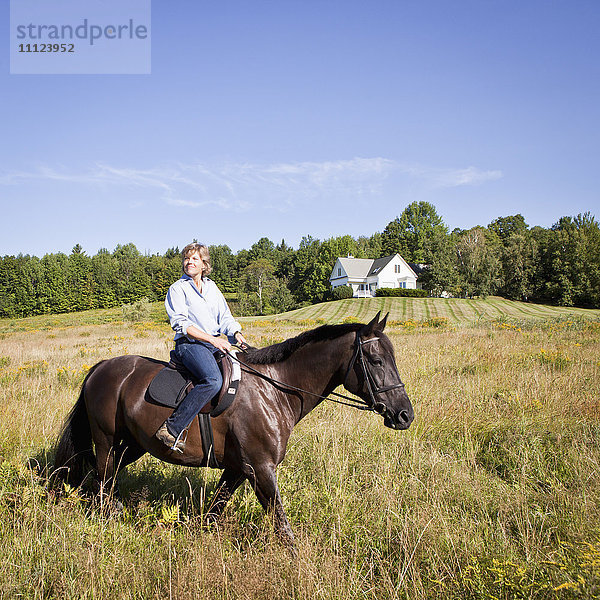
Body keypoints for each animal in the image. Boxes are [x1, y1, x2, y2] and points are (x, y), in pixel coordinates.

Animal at [55, 312, 412, 548]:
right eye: (376, 361)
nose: (404, 414)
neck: (275, 389)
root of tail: (100, 368)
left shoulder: (238, 469)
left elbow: (215, 511)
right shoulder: (261, 469)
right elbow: (282, 526)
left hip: (131, 446)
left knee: (101, 478)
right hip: (106, 441)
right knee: (102, 480)